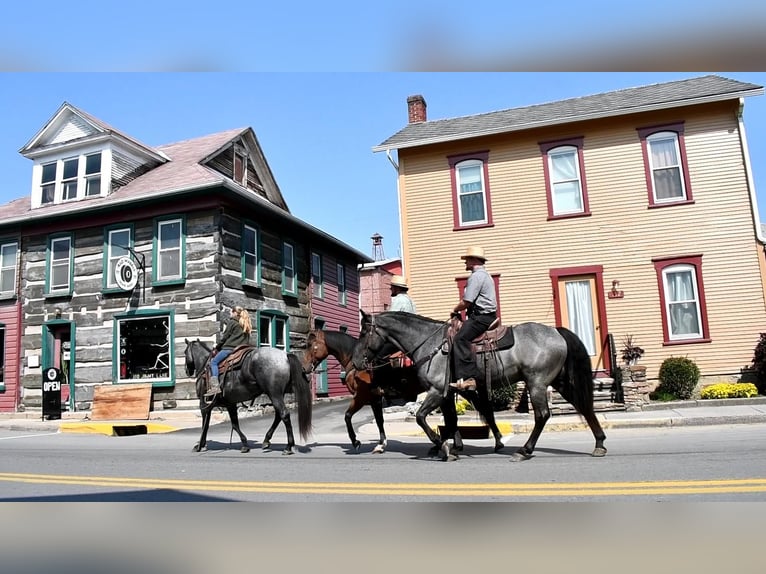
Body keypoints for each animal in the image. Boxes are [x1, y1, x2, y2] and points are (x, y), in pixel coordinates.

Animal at [184, 340, 314, 456]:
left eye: (185, 352)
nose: (186, 370)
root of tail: (285, 356)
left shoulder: (204, 405)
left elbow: (205, 425)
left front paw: (200, 445)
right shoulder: (230, 404)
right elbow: (235, 424)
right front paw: (245, 445)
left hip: (274, 394)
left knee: (284, 414)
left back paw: (288, 447)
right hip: (277, 395)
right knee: (278, 416)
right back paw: (266, 441)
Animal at [352, 310, 608, 464]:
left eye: (364, 332)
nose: (356, 363)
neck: (430, 344)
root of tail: (556, 331)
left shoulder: (436, 391)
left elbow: (421, 418)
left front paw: (443, 448)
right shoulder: (448, 393)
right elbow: (451, 420)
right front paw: (453, 447)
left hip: (536, 382)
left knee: (543, 415)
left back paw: (524, 451)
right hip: (559, 381)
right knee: (583, 406)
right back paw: (599, 444)